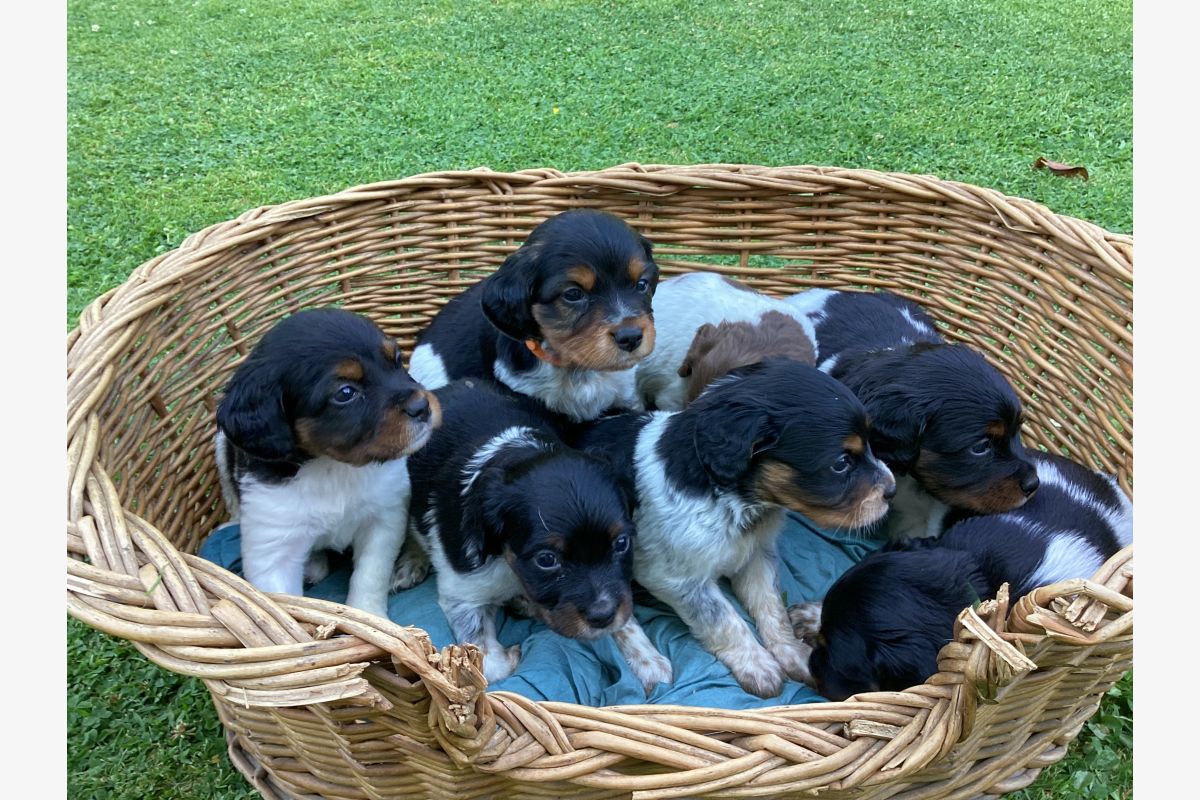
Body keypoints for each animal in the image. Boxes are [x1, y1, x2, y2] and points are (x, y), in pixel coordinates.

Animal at [214, 309, 441, 618]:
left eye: (395, 360)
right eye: (345, 393)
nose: (423, 407)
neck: (333, 466)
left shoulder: (383, 519)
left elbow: (370, 576)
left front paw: (369, 618)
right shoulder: (272, 548)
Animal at [400, 376, 667, 690]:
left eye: (621, 543)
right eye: (546, 560)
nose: (601, 616)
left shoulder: (615, 591)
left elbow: (623, 613)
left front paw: (648, 659)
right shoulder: (463, 591)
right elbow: (490, 664)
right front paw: (511, 655)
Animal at [576, 359, 897, 695]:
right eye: (841, 463)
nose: (892, 490)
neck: (733, 502)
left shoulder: (756, 555)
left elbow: (772, 606)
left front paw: (793, 653)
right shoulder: (676, 579)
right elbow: (723, 618)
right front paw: (757, 665)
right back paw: (649, 662)